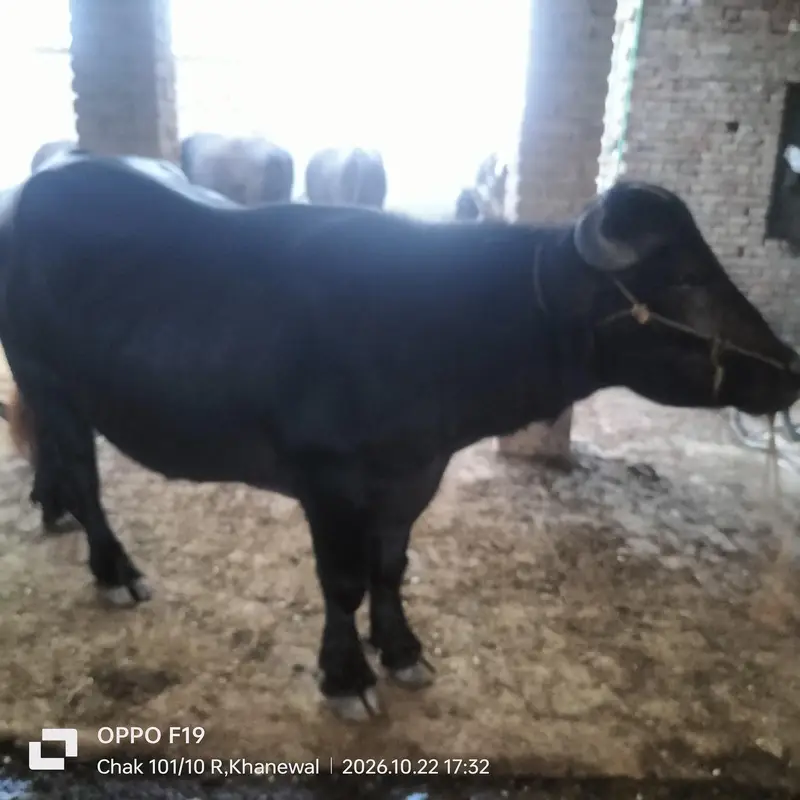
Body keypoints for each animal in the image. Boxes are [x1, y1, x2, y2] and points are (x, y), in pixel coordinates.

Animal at [2, 152, 800, 724]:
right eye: (688, 279)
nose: (788, 367)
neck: (427, 329)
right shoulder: (327, 483)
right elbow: (344, 580)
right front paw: (346, 676)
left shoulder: (416, 473)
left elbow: (390, 567)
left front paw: (403, 650)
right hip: (48, 377)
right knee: (83, 473)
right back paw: (114, 569)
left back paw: (55, 513)